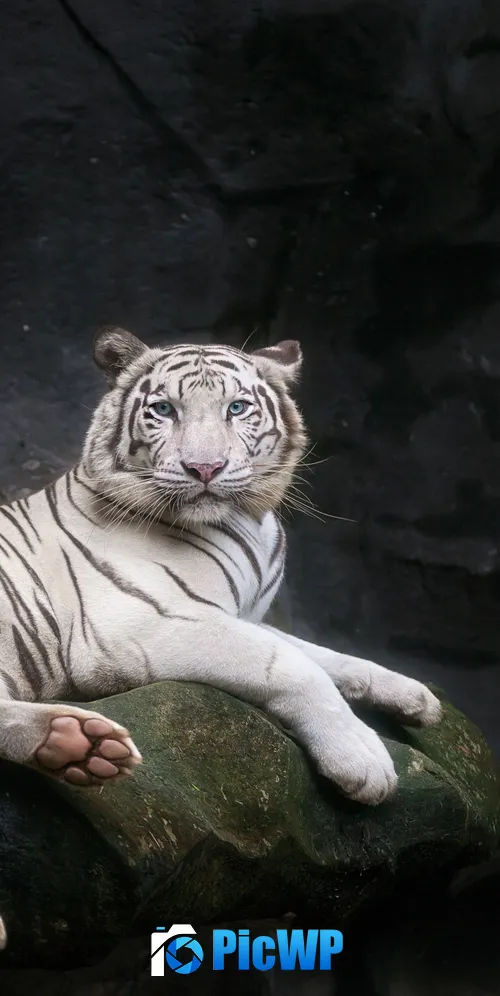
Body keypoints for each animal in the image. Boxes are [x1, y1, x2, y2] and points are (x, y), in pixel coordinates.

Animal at [0, 327, 442, 803]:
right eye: (163, 410)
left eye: (237, 408)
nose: (205, 467)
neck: (246, 520)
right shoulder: (138, 623)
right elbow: (291, 663)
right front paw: (363, 758)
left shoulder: (241, 615)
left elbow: (325, 654)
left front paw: (414, 696)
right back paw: (75, 742)